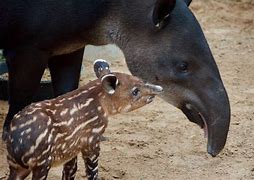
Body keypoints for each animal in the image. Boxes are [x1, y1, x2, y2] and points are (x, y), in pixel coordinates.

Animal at [5, 59, 163, 179]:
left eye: (140, 79)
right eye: (135, 91)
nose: (159, 89)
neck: (99, 98)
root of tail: (16, 145)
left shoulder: (70, 148)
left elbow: (70, 170)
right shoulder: (91, 140)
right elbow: (92, 171)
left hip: (16, 165)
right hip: (41, 163)